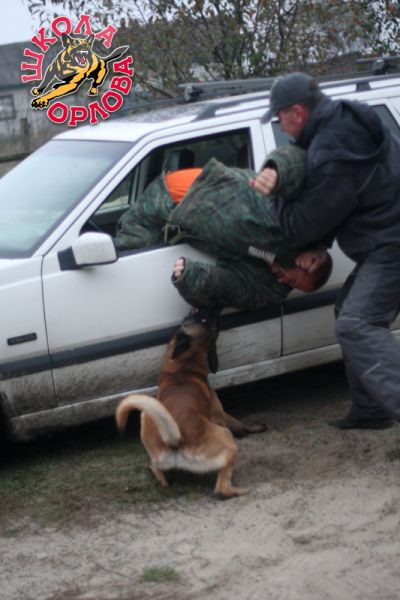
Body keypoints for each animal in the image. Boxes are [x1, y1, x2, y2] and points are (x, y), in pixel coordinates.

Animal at [115, 307, 266, 499]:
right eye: (203, 320)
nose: (213, 310)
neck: (183, 369)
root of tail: (175, 440)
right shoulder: (219, 414)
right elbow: (239, 424)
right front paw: (255, 428)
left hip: (146, 416)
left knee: (161, 477)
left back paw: (155, 471)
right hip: (226, 437)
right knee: (221, 488)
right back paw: (240, 490)